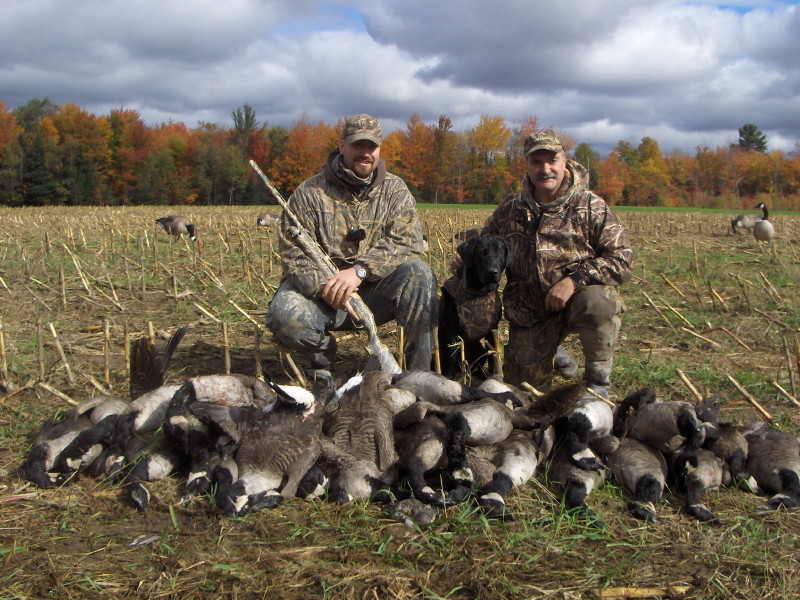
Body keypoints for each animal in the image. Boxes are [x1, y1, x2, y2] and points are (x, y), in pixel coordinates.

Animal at [438, 235, 513, 379]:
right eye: (481, 253)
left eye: (500, 252)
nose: (493, 272)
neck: (479, 292)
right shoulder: (451, 332)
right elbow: (450, 357)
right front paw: (448, 378)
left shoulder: (492, 330)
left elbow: (492, 356)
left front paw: (494, 375)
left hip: (479, 349)